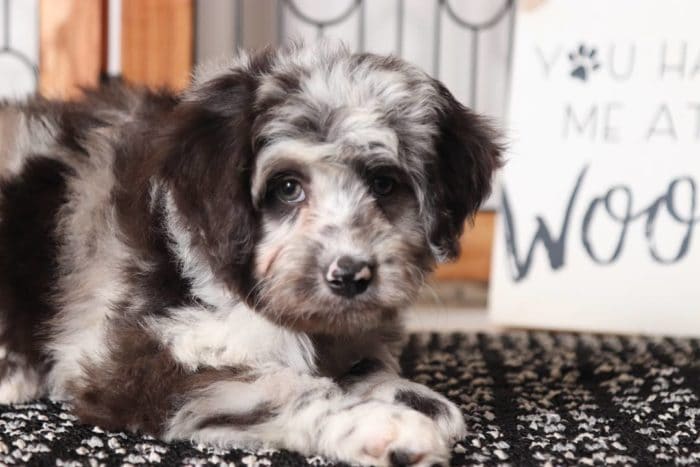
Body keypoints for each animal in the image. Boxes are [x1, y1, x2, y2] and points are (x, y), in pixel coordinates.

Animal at [0, 42, 504, 466]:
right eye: (287, 187)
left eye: (383, 183)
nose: (350, 276)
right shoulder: (134, 358)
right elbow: (273, 387)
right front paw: (381, 425)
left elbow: (370, 360)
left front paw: (412, 397)